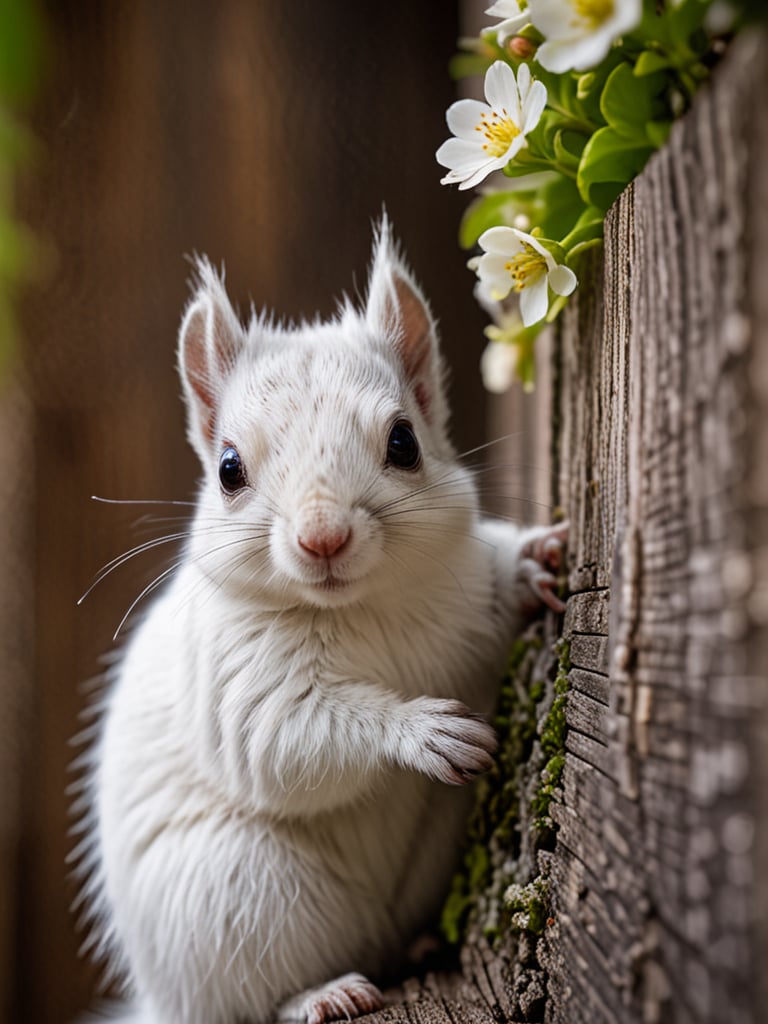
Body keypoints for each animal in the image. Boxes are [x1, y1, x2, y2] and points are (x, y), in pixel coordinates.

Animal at [75, 218, 569, 1024]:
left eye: (405, 442)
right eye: (228, 469)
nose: (323, 539)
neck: (362, 606)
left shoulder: (462, 592)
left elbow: (497, 590)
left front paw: (533, 563)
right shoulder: (242, 686)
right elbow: (288, 740)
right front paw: (427, 733)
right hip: (234, 900)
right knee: (252, 995)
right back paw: (323, 994)